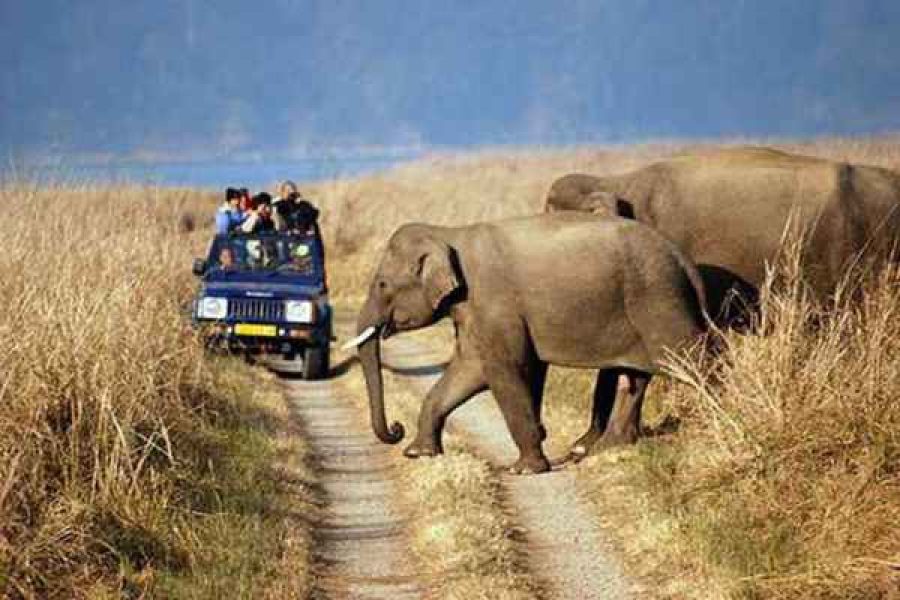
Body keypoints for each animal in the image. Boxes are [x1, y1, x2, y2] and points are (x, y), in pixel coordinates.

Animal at [344, 213, 712, 476]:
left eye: (382, 284)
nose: (396, 428)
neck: (449, 233)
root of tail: (683, 260)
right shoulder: (473, 310)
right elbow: (470, 369)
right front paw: (419, 454)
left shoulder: (494, 303)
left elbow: (503, 370)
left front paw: (524, 469)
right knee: (634, 376)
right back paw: (608, 448)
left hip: (660, 301)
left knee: (696, 364)